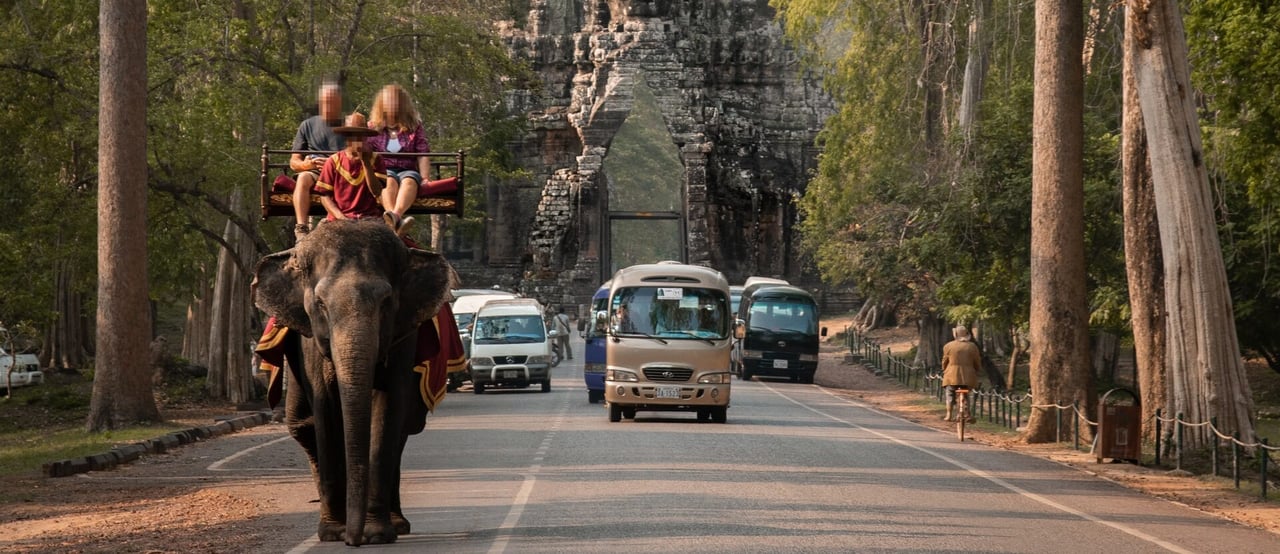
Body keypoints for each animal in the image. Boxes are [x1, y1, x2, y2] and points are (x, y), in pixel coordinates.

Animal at [250, 220, 455, 545]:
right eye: (320, 303)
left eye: (386, 302)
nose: (353, 540)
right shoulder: (309, 342)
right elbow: (324, 410)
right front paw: (333, 533)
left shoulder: (403, 336)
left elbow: (387, 410)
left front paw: (376, 535)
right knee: (302, 424)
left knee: (405, 427)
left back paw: (397, 524)